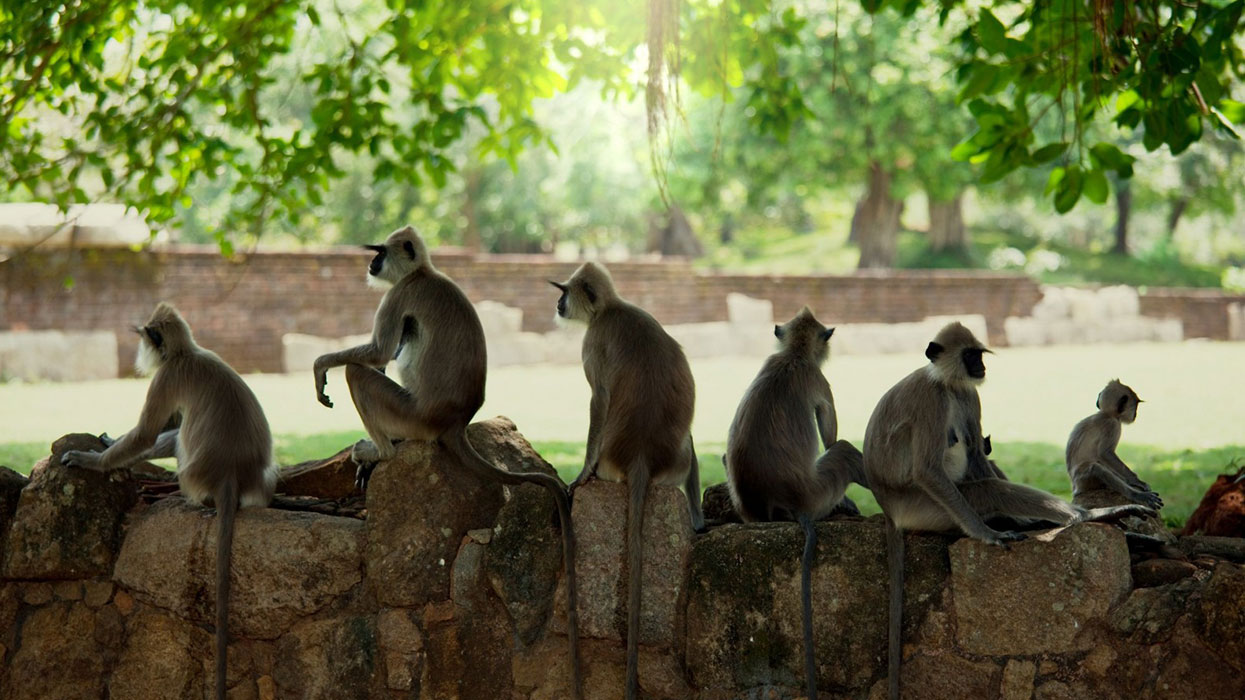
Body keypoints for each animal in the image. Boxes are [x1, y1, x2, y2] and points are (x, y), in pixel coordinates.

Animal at [60, 302, 278, 700]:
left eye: (146, 338)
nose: (139, 349)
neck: (187, 353)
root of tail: (231, 475)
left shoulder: (167, 376)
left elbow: (147, 434)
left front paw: (92, 458)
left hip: (193, 475)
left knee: (179, 435)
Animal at [311, 225, 583, 699]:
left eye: (379, 252)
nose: (371, 263)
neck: (424, 273)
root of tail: (455, 421)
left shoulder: (401, 293)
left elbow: (378, 352)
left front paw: (321, 365)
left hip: (410, 413)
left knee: (360, 372)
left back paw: (382, 451)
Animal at [550, 261, 703, 700]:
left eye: (565, 291)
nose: (558, 303)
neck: (610, 309)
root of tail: (640, 457)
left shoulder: (593, 342)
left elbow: (599, 399)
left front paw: (580, 475)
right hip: (674, 461)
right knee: (688, 443)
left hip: (609, 461)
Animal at [723, 307, 864, 700]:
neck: (793, 356)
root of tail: (780, 504)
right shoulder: (817, 378)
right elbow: (830, 433)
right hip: (817, 493)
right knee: (843, 450)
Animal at [1065, 379, 1163, 510]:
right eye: (1136, 405)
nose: (1136, 414)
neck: (1106, 414)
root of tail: (1075, 488)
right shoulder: (1112, 425)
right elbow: (1105, 453)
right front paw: (1136, 481)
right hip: (1083, 480)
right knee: (1097, 469)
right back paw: (1137, 495)